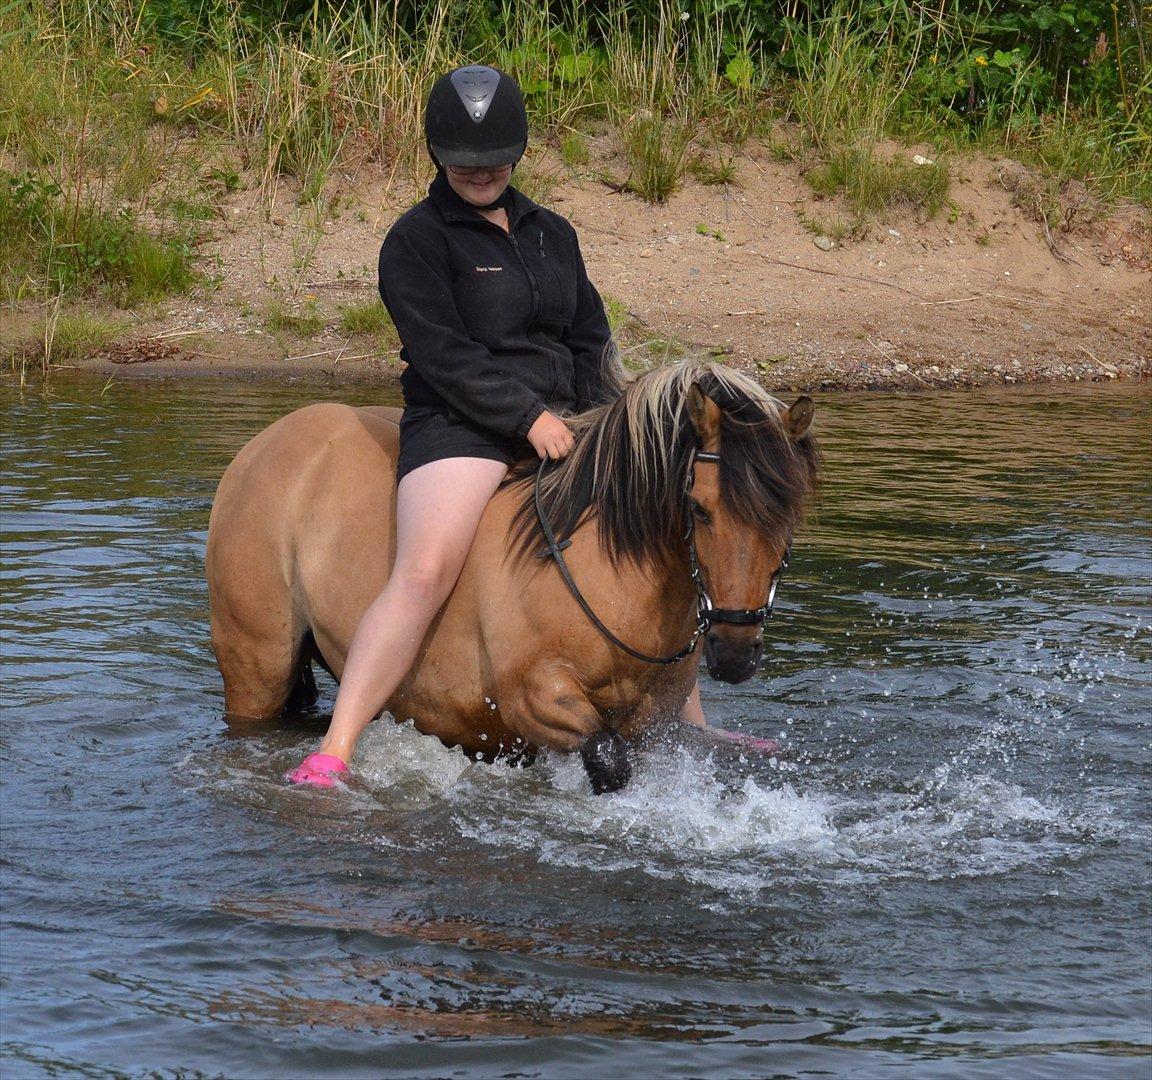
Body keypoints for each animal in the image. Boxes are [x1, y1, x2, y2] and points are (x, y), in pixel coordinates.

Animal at [207, 356, 820, 787]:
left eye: (790, 514)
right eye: (699, 508)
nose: (735, 655)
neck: (604, 572)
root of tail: (266, 442)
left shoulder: (654, 720)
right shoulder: (531, 697)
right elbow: (607, 758)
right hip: (257, 665)